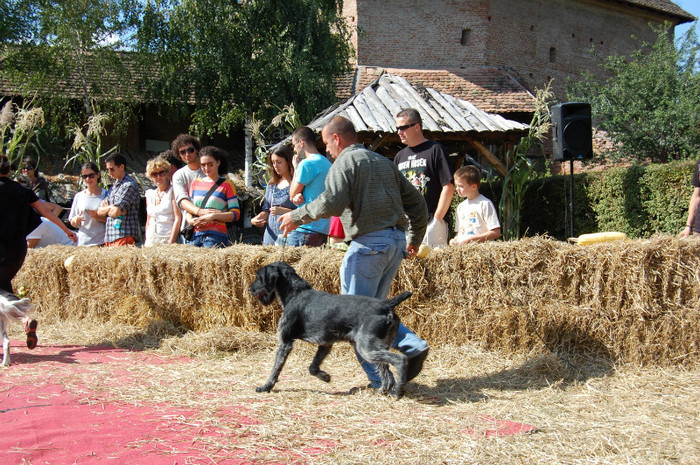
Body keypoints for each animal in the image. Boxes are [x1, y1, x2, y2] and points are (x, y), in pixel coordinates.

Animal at [249, 260, 410, 396]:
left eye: (259, 277)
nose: (250, 289)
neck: (295, 293)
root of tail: (385, 305)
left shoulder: (285, 343)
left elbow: (276, 369)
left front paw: (266, 387)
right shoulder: (326, 344)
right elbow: (312, 367)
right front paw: (325, 377)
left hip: (366, 348)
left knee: (399, 360)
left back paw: (399, 389)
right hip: (376, 347)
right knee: (385, 369)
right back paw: (383, 390)